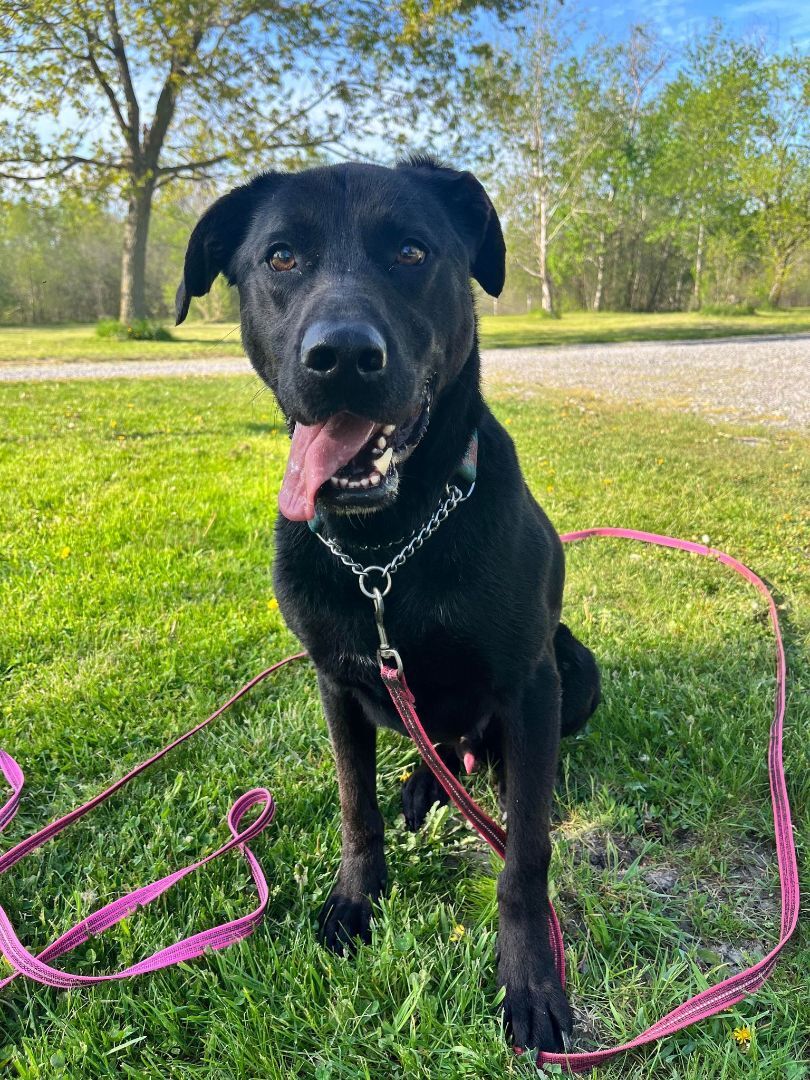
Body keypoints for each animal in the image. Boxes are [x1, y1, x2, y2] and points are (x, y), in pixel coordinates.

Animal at [177, 156, 600, 1049]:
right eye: (279, 257)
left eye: (411, 251)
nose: (341, 355)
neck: (387, 551)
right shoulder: (337, 683)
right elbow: (354, 805)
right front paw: (357, 900)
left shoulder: (530, 683)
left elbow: (526, 855)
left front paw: (531, 978)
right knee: (434, 752)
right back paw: (424, 785)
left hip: (575, 670)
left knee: (498, 760)